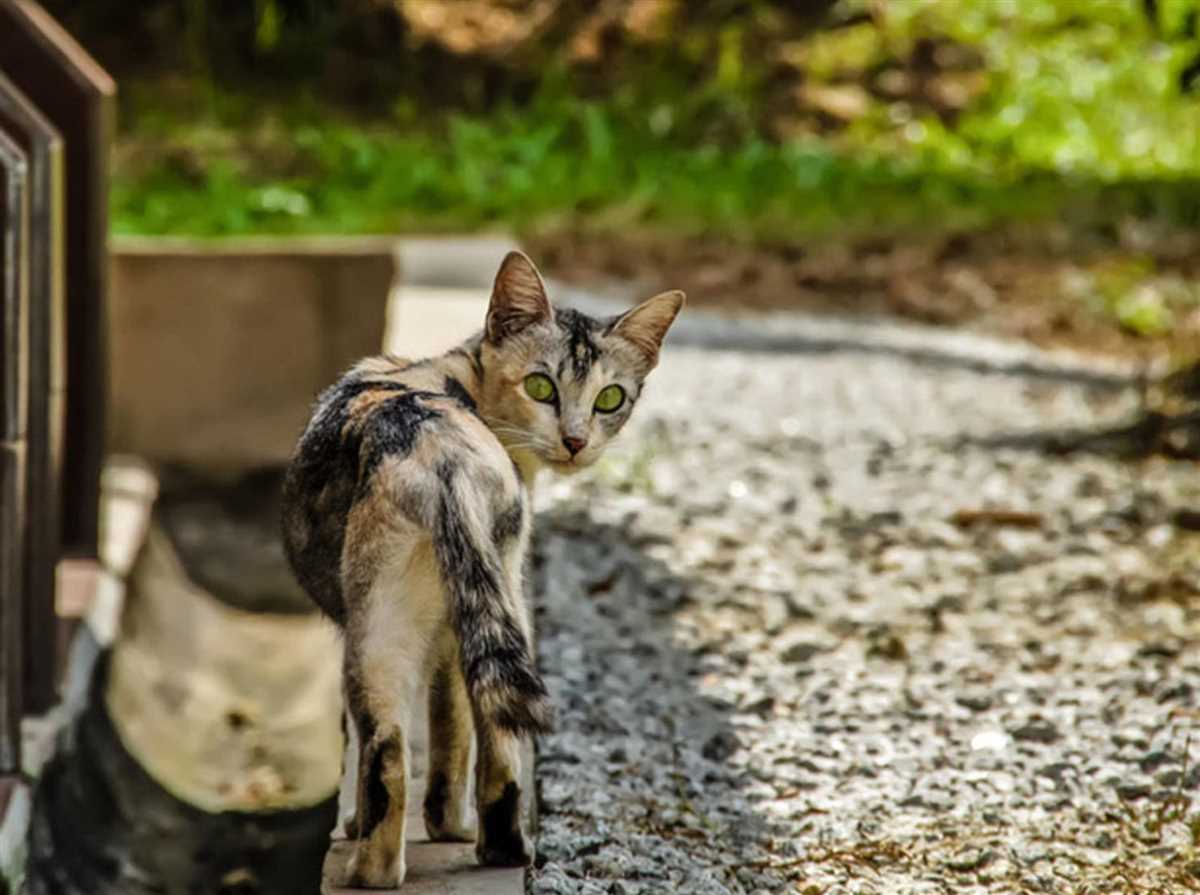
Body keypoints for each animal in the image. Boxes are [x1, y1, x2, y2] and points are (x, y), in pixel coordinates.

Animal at [274, 250, 681, 887]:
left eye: (610, 399)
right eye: (540, 386)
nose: (575, 440)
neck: (453, 378)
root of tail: (441, 454)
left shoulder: (437, 642)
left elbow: (430, 742)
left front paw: (377, 825)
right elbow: (450, 739)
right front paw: (440, 829)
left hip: (383, 634)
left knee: (391, 754)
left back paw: (371, 869)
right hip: (491, 611)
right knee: (490, 747)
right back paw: (497, 852)